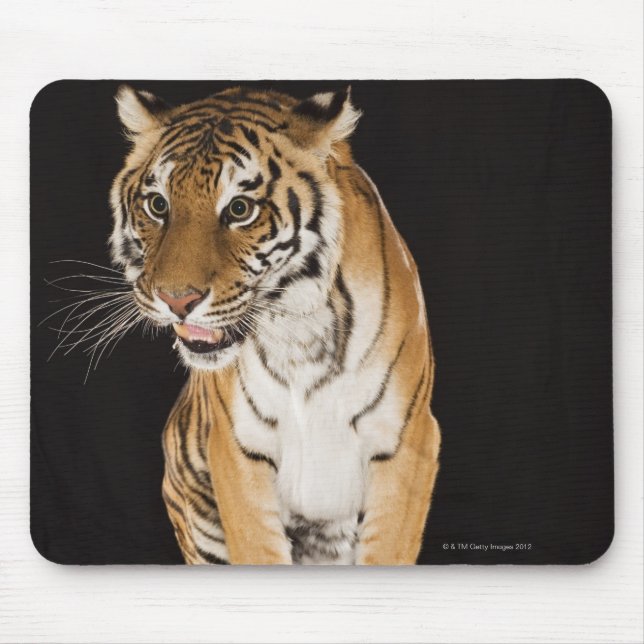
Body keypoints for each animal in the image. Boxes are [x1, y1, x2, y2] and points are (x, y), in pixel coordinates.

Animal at [109, 84, 441, 564]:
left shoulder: (407, 440)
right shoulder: (237, 448)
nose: (177, 300)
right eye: (158, 205)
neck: (298, 329)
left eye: (239, 209)